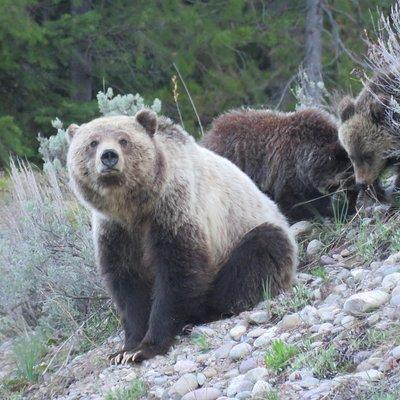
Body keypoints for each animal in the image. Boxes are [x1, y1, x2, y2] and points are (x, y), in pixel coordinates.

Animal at [65, 108, 296, 362]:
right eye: (92, 142)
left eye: (123, 140)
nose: (108, 156)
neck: (134, 209)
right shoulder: (116, 233)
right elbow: (128, 286)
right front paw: (125, 349)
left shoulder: (174, 210)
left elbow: (177, 273)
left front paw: (147, 346)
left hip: (246, 232)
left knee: (258, 255)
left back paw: (205, 313)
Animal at [203, 108, 356, 222]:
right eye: (349, 172)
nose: (354, 189)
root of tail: (208, 135)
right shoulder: (287, 169)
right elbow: (295, 200)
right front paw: (333, 211)